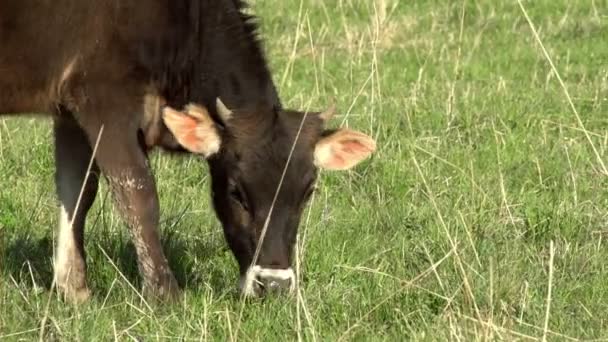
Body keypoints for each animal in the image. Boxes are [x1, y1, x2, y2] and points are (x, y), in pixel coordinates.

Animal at [0, 0, 376, 300]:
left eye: (308, 192)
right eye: (236, 192)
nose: (273, 284)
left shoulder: (69, 112)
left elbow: (78, 193)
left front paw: (74, 289)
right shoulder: (103, 98)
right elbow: (138, 195)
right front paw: (165, 294)